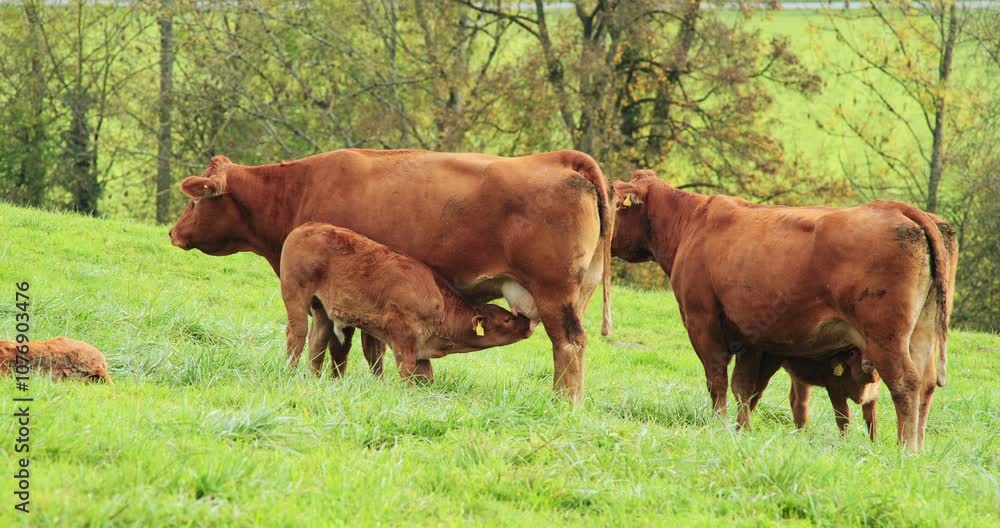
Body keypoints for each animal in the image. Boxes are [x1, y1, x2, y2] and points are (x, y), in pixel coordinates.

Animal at [281, 222, 535, 379]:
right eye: (507, 320)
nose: (527, 323)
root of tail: (307, 226)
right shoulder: (403, 340)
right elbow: (407, 373)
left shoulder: (422, 351)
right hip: (295, 294)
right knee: (297, 335)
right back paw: (290, 373)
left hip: (321, 309)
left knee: (316, 344)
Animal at [611, 169, 953, 449]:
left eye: (615, 204)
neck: (691, 222)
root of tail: (895, 207)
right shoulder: (751, 336)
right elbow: (745, 387)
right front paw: (741, 430)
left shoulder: (701, 319)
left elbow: (717, 380)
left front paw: (719, 426)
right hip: (921, 332)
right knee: (926, 384)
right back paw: (919, 447)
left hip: (885, 337)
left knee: (906, 383)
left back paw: (906, 448)